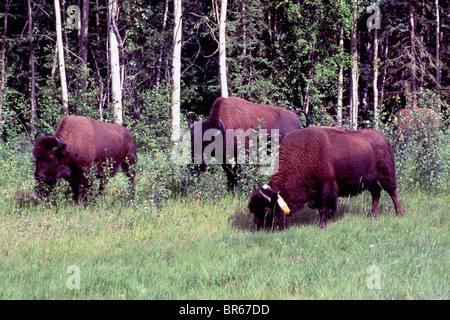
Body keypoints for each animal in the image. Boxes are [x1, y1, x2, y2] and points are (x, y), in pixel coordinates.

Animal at [250, 125, 404, 230]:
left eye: (266, 210)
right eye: (253, 209)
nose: (258, 226)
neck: (301, 157)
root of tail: (384, 139)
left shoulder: (325, 189)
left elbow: (324, 207)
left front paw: (322, 225)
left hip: (385, 174)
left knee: (392, 192)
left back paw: (399, 214)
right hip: (370, 180)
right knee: (376, 193)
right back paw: (373, 216)